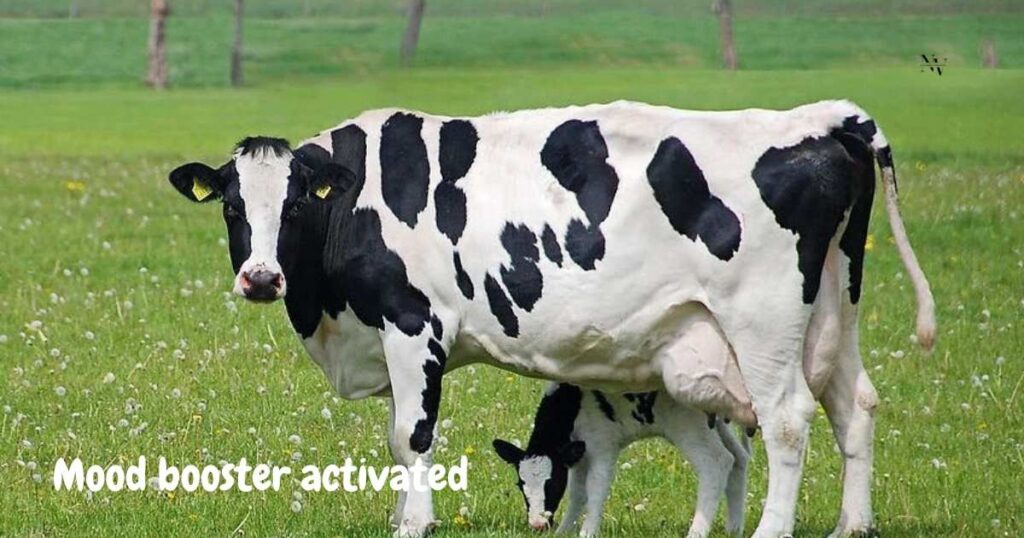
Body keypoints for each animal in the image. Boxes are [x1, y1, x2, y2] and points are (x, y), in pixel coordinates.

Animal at [493, 381, 752, 538]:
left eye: (553, 484)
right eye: (520, 485)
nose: (537, 524)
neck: (572, 404)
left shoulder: (602, 447)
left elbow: (595, 489)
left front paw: (587, 532)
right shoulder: (579, 454)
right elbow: (577, 493)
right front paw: (564, 531)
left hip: (688, 426)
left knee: (717, 462)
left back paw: (697, 531)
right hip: (715, 425)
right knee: (738, 458)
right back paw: (734, 528)